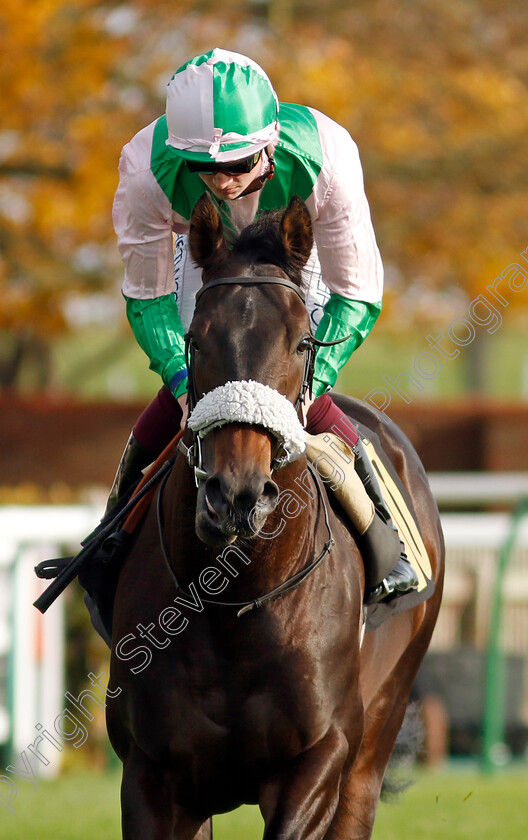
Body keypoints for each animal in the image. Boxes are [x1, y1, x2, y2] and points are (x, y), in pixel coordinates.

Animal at [107, 194, 446, 836]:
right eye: (195, 339)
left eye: (302, 344)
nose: (237, 495)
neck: (234, 608)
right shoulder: (151, 775)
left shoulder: (318, 763)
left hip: (374, 744)